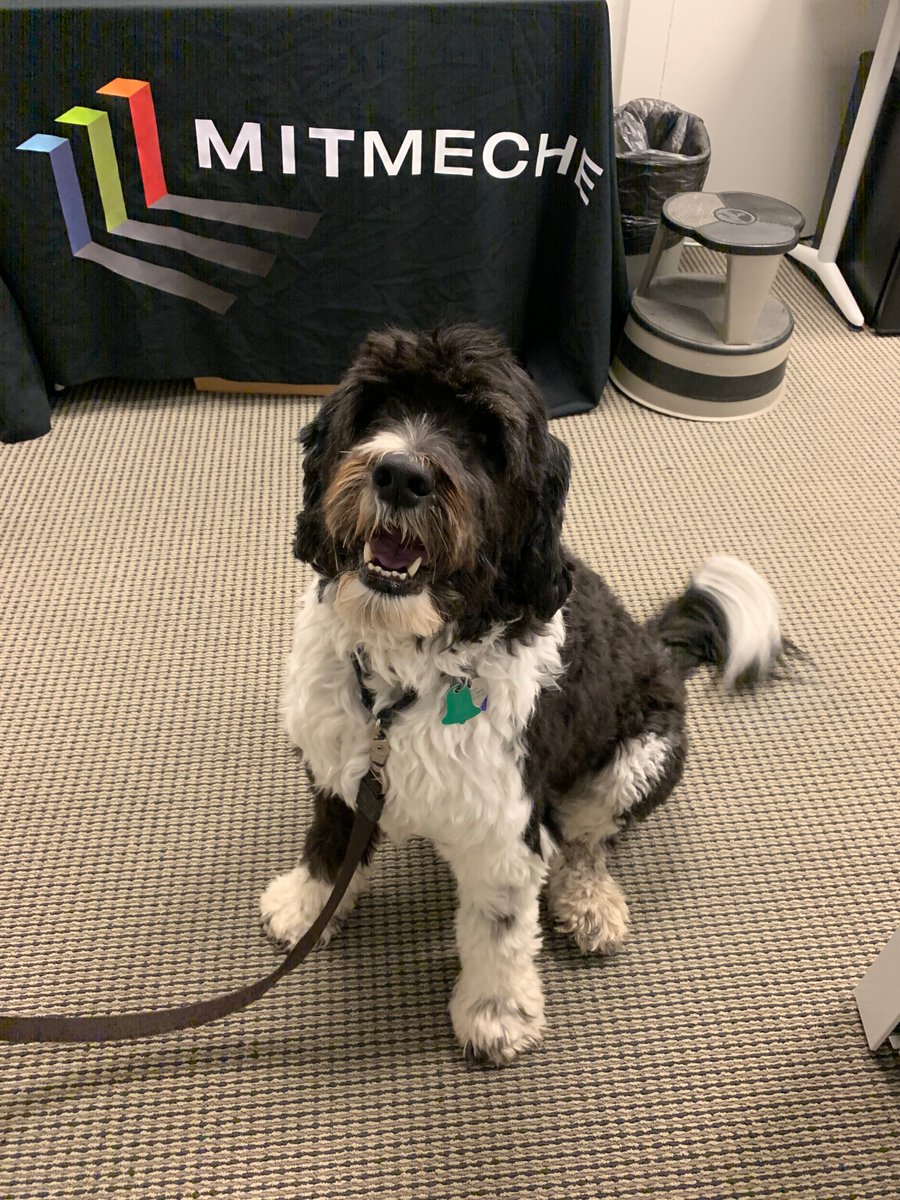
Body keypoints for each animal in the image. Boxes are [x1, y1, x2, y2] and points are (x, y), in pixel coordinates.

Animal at [259, 324, 782, 1065]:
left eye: (485, 439)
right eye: (378, 409)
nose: (401, 473)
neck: (403, 683)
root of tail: (655, 650)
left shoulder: (505, 829)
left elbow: (499, 930)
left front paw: (495, 1014)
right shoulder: (342, 769)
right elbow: (331, 841)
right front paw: (308, 907)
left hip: (639, 759)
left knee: (587, 840)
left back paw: (590, 902)